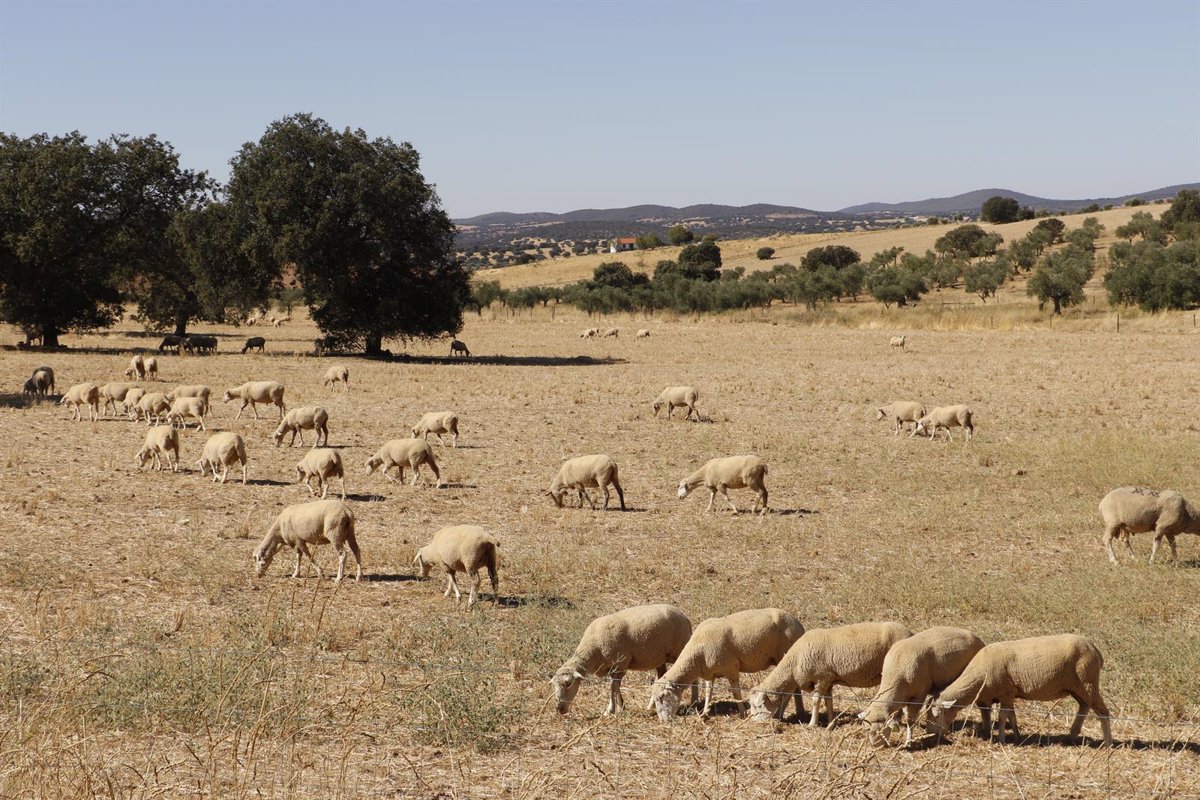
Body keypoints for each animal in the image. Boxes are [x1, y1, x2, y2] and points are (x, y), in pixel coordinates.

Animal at [552, 604, 696, 714]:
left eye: (568, 683)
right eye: (554, 686)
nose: (559, 708)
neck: (593, 649)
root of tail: (684, 616)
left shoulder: (620, 665)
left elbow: (613, 687)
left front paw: (613, 709)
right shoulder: (613, 669)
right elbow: (614, 687)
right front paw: (618, 706)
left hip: (680, 649)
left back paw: (694, 702)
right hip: (658, 657)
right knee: (661, 676)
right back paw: (651, 706)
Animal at [652, 606, 801, 719]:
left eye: (661, 697)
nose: (663, 721)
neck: (696, 655)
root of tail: (799, 625)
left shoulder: (731, 668)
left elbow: (736, 693)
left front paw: (742, 713)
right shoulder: (709, 673)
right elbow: (708, 692)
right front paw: (704, 713)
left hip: (785, 657)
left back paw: (782, 714)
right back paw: (799, 712)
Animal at [744, 623, 912, 729]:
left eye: (756, 705)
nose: (754, 722)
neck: (793, 664)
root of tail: (910, 632)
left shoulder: (822, 677)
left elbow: (815, 701)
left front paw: (812, 724)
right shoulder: (829, 679)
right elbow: (828, 701)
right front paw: (831, 723)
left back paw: (896, 720)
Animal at [926, 633, 1113, 748]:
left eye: (936, 715)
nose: (930, 733)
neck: (978, 674)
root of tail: (1096, 651)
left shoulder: (1006, 693)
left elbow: (1003, 717)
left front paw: (1002, 739)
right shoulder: (1009, 695)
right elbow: (1012, 716)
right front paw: (1017, 736)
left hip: (1088, 682)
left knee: (1103, 712)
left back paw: (1108, 743)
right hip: (1077, 686)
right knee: (1084, 706)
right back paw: (1072, 734)